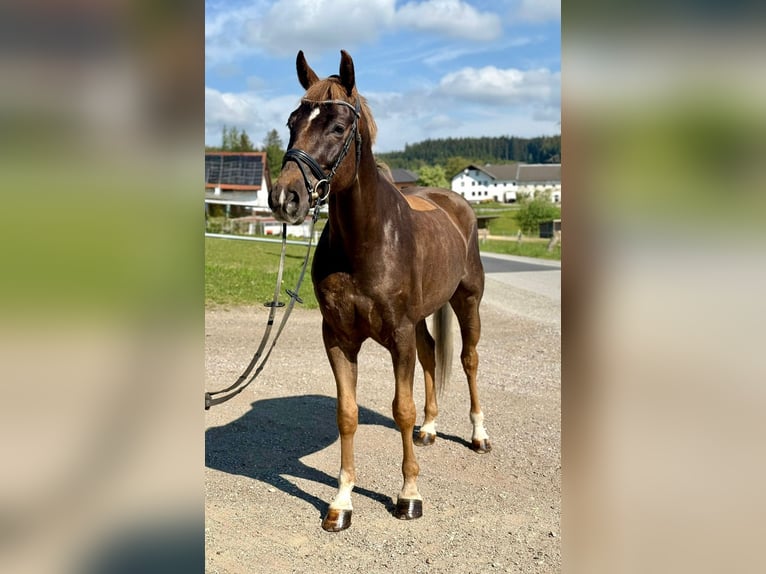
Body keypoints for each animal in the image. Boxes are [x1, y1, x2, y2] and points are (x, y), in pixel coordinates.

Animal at [269, 50, 491, 532]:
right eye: (292, 121)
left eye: (337, 127)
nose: (285, 199)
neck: (366, 240)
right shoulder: (338, 338)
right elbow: (347, 414)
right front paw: (341, 502)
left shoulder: (399, 336)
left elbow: (401, 409)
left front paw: (408, 495)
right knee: (431, 355)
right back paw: (430, 429)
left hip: (467, 300)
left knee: (468, 360)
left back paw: (479, 435)